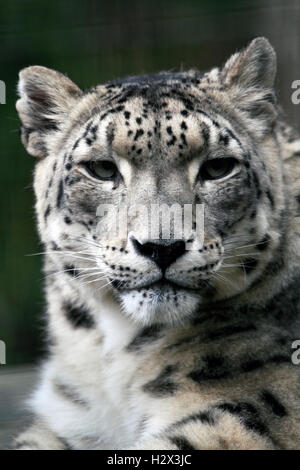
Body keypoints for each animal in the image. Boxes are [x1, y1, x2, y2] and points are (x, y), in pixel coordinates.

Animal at [14, 38, 300, 450]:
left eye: (218, 167)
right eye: (102, 169)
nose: (162, 247)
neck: (109, 354)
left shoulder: (242, 416)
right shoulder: (68, 421)